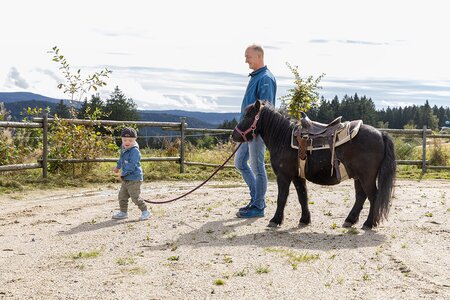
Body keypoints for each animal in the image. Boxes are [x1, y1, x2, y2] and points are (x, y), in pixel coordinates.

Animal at [234, 99, 396, 229]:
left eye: (248, 115)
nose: (233, 136)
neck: (283, 138)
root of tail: (381, 134)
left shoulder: (283, 176)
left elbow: (282, 198)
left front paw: (275, 220)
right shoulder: (298, 177)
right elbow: (302, 197)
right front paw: (305, 220)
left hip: (367, 177)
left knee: (373, 196)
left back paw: (369, 223)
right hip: (358, 176)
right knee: (361, 196)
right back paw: (350, 220)